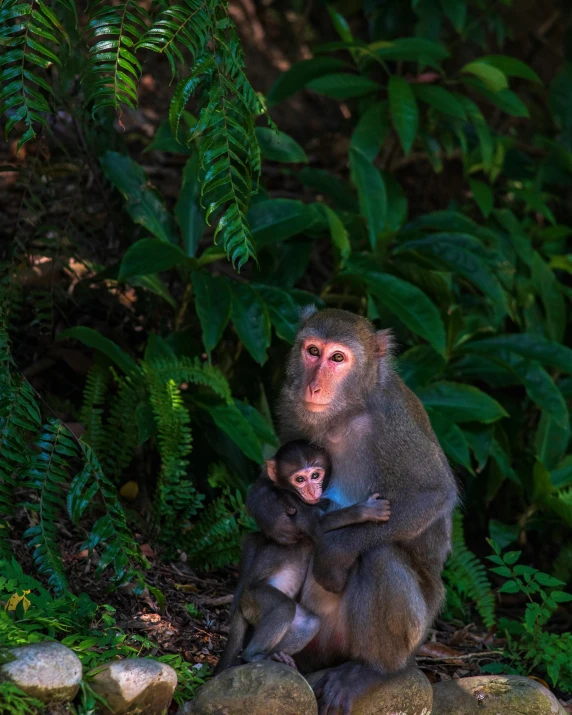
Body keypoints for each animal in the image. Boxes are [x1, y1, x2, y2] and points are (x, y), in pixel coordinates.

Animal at [216, 440, 394, 676]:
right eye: (300, 479)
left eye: (315, 475)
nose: (312, 490)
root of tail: (241, 599)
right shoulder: (293, 503)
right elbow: (318, 526)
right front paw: (365, 510)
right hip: (255, 598)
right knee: (283, 608)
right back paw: (253, 655)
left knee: (308, 622)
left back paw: (277, 655)